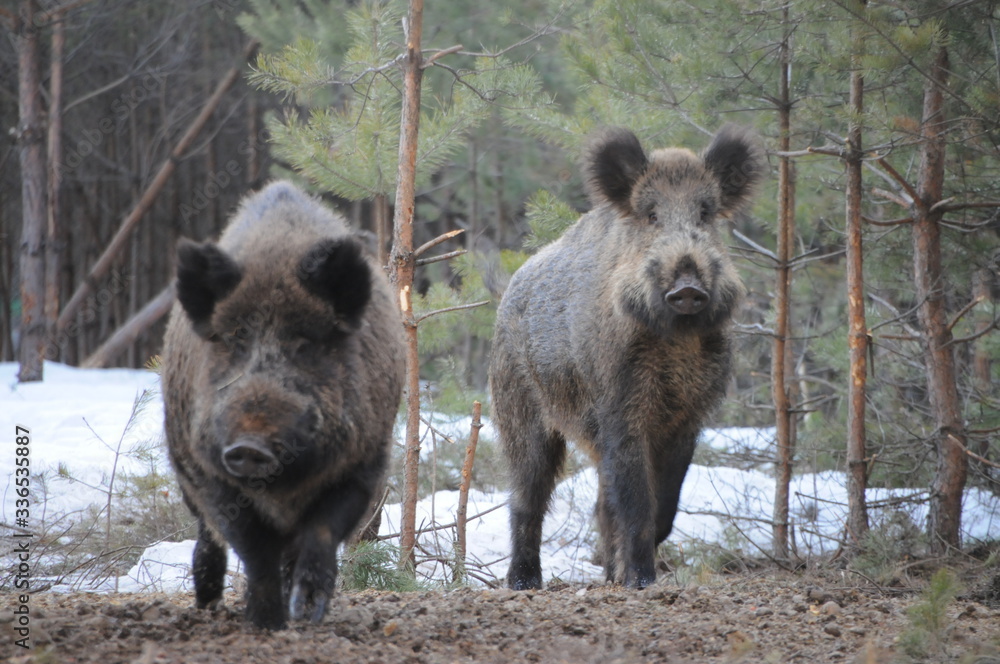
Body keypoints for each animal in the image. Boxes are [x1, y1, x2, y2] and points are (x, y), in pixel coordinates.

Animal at [161, 181, 404, 629]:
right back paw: (207, 604)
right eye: (233, 341)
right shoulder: (205, 470)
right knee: (207, 533)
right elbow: (254, 549)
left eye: (305, 344)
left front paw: (306, 614)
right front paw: (265, 623)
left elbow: (320, 533)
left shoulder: (365, 464)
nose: (249, 445)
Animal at [490, 125, 764, 590]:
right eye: (651, 214)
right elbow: (637, 500)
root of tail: (510, 290)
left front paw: (628, 577)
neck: (676, 342)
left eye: (705, 213)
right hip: (517, 406)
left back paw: (606, 575)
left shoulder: (691, 417)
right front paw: (641, 581)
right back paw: (525, 582)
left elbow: (664, 505)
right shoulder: (618, 403)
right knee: (527, 495)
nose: (687, 286)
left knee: (600, 504)